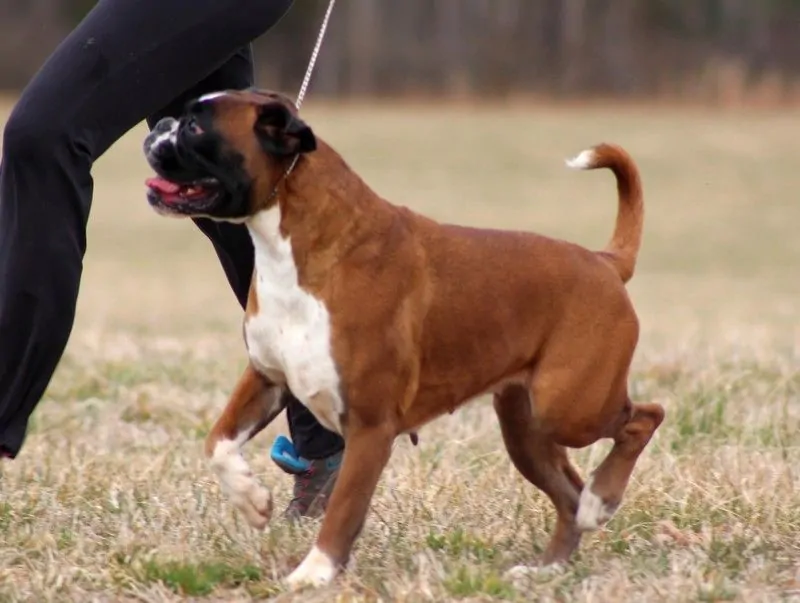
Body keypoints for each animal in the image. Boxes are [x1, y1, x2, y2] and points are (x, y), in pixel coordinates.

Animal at [142, 89, 664, 588]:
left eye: (195, 127)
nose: (161, 124)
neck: (298, 245)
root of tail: (604, 262)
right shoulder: (267, 378)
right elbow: (218, 442)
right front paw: (252, 500)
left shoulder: (370, 428)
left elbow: (342, 510)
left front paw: (314, 574)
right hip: (527, 429)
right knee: (569, 492)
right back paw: (548, 566)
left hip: (568, 406)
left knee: (644, 418)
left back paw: (602, 499)